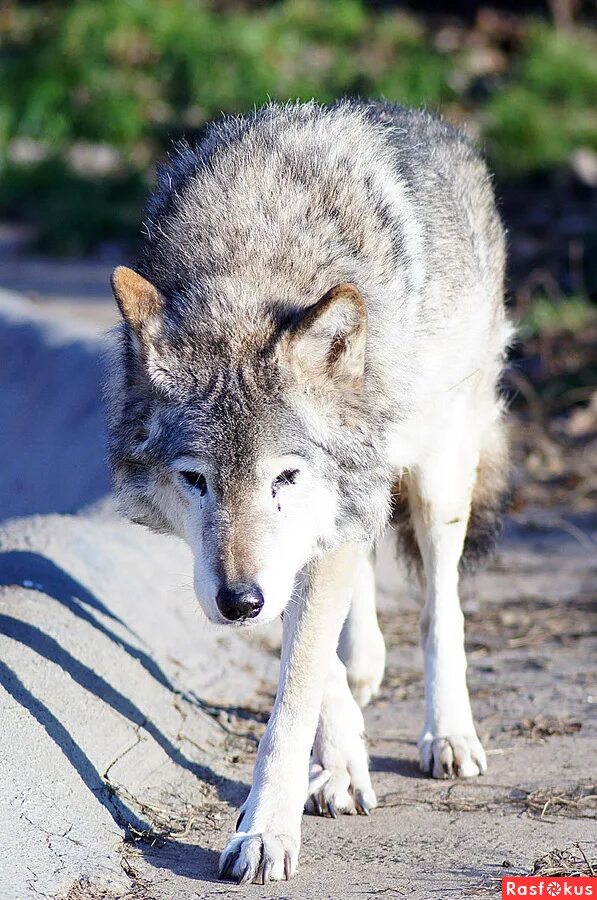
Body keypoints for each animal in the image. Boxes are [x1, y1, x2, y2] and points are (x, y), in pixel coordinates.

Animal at [103, 96, 512, 880]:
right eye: (195, 479)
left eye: (284, 476)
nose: (240, 603)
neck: (253, 256)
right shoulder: (286, 552)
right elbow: (314, 672)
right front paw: (341, 767)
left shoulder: (314, 527)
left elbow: (293, 697)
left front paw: (265, 832)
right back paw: (363, 670)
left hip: (439, 477)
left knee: (440, 605)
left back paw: (448, 734)